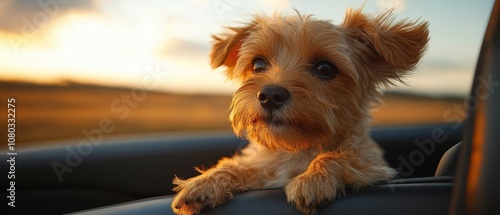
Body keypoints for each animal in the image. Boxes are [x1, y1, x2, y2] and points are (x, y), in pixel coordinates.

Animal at [172, 7, 430, 214]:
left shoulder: (372, 165)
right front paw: (206, 182)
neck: (295, 150)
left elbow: (339, 155)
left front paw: (313, 179)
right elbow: (240, 165)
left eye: (325, 68)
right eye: (258, 64)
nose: (270, 95)